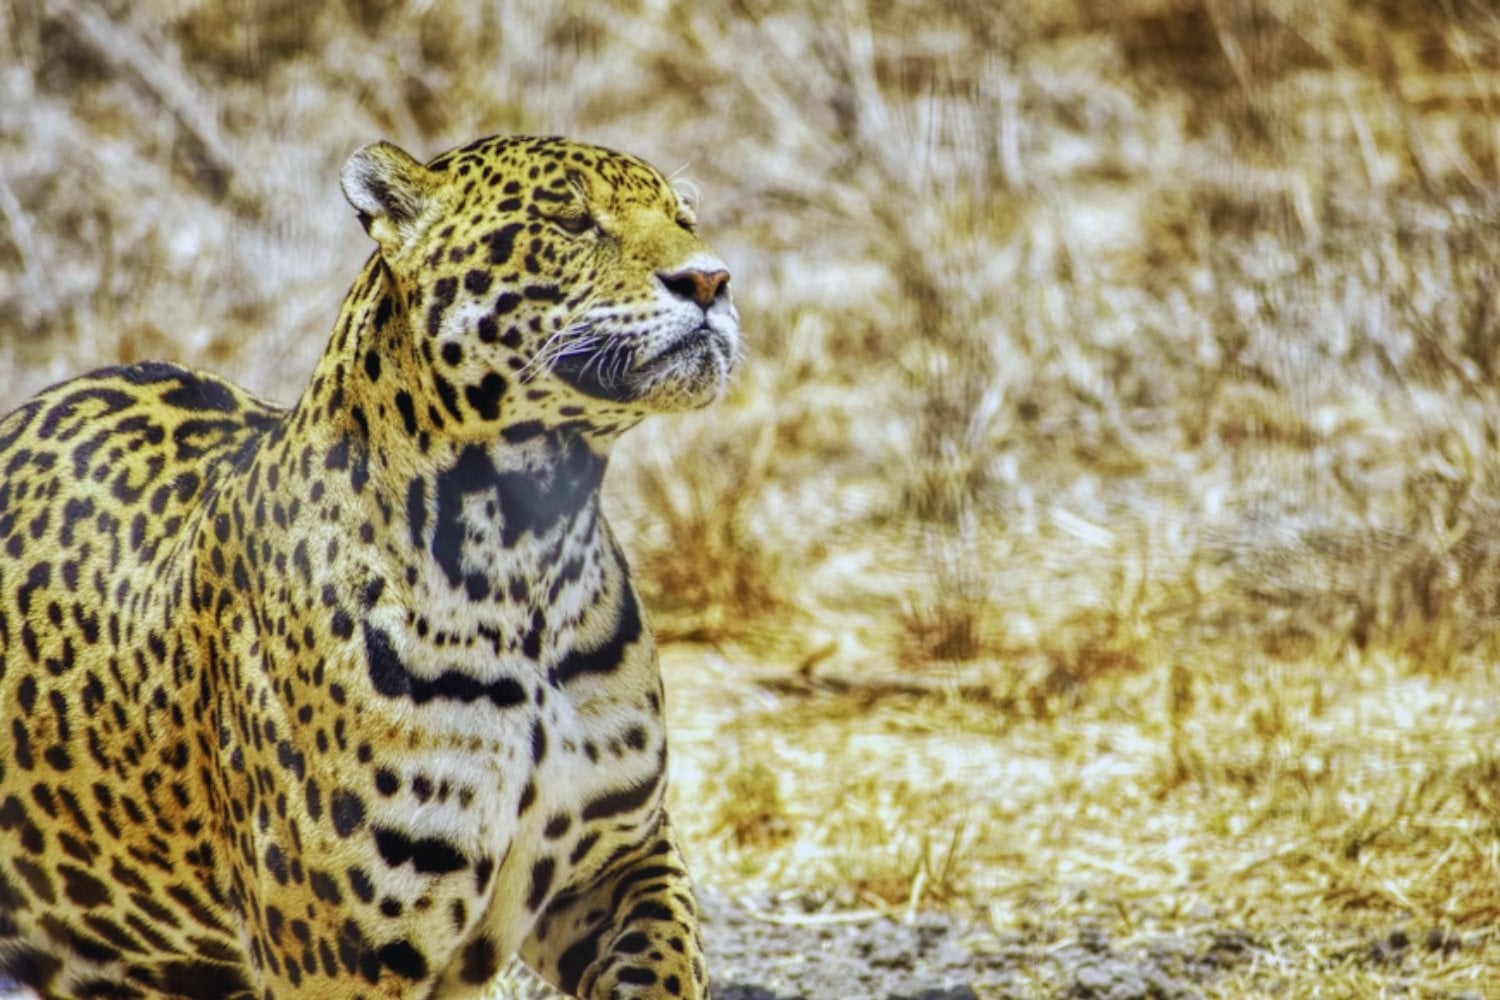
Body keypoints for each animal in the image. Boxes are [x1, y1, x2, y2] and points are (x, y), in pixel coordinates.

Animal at [0, 133, 741, 999]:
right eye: (569, 219)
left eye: (683, 217)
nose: (711, 279)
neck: (532, 549)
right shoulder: (341, 954)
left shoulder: (620, 858)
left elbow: (665, 958)